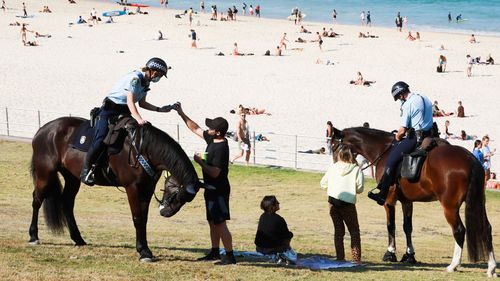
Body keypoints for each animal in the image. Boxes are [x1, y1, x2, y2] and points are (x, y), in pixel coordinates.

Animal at [27, 116, 201, 260]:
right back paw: (33, 236)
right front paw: (143, 251)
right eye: (177, 195)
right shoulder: (133, 188)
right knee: (37, 200)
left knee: (67, 203)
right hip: (45, 174)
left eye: (186, 200)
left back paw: (78, 238)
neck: (142, 148)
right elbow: (137, 218)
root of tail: (43, 130)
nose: (165, 212)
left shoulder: (146, 189)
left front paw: (144, 249)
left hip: (72, 178)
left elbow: (143, 219)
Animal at [332, 126, 496, 276]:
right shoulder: (407, 201)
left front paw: (390, 253)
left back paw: (453, 265)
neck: (383, 149)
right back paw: (491, 268)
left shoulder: (389, 200)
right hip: (478, 203)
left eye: (333, 145)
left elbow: (391, 225)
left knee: (459, 230)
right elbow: (407, 227)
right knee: (486, 229)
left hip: (450, 207)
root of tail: (470, 159)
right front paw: (409, 255)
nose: (334, 163)